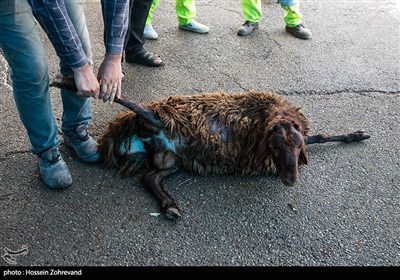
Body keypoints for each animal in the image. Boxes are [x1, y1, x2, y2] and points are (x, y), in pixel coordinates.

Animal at [50, 76, 372, 221]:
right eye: (274, 146)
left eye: (296, 147)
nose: (290, 179)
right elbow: (320, 135)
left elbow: (321, 135)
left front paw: (357, 135)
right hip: (159, 119)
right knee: (127, 101)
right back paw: (65, 81)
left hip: (173, 159)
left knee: (149, 177)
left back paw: (170, 207)